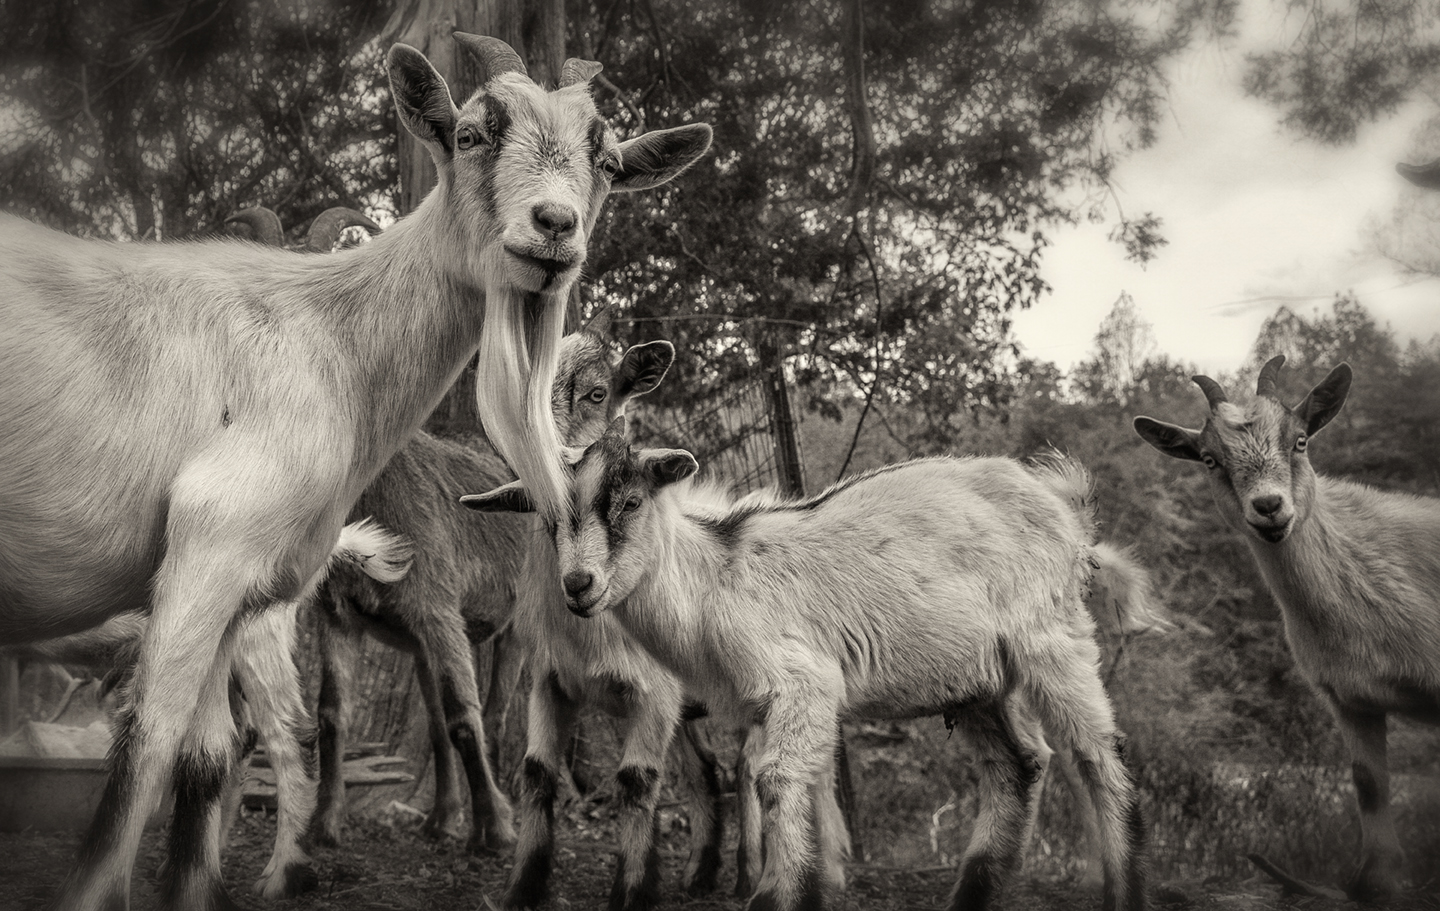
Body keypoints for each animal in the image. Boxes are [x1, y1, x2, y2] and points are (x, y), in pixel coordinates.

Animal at [310, 314, 681, 858]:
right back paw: (442, 818)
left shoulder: (439, 601)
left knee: (492, 714)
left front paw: (496, 828)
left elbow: (469, 719)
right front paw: (323, 824)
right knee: (439, 722)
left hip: (503, 625)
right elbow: (333, 716)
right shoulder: (337, 611)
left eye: (597, 393)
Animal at [464, 429, 1149, 911]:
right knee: (1018, 764)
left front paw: (774, 895)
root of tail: (1063, 503)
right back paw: (971, 897)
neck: (715, 581)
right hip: (975, 677)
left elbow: (774, 780)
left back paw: (1123, 890)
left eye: (631, 501)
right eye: (547, 519)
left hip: (1051, 637)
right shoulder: (758, 704)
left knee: (1099, 754)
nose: (578, 585)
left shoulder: (803, 683)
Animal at [1134, 355, 1440, 901]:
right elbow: (1368, 783)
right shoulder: (1349, 698)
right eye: (1209, 459)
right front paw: (1377, 881)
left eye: (1299, 440)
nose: (1269, 507)